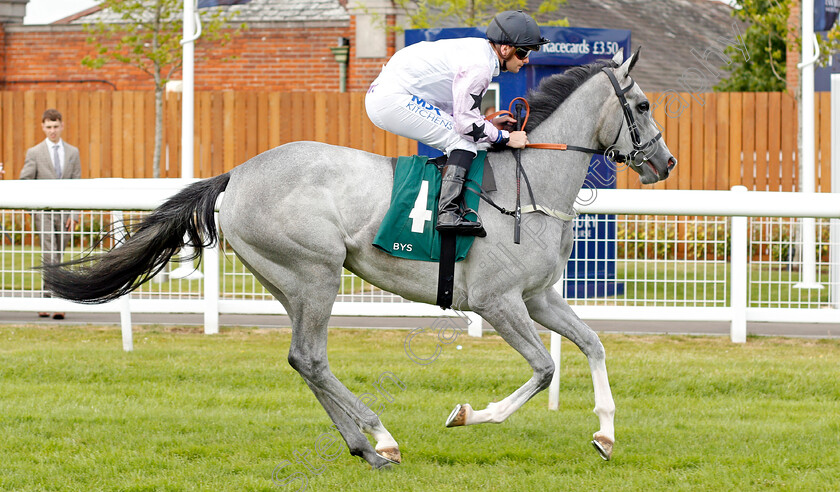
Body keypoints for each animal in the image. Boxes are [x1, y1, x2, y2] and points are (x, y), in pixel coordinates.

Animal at [44, 48, 676, 468]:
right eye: (643, 104)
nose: (665, 162)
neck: (530, 184)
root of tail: (234, 177)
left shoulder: (539, 297)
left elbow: (593, 344)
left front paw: (605, 435)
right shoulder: (497, 302)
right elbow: (544, 369)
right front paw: (468, 414)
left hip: (292, 283)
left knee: (306, 361)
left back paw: (362, 446)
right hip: (315, 273)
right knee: (310, 357)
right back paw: (383, 437)